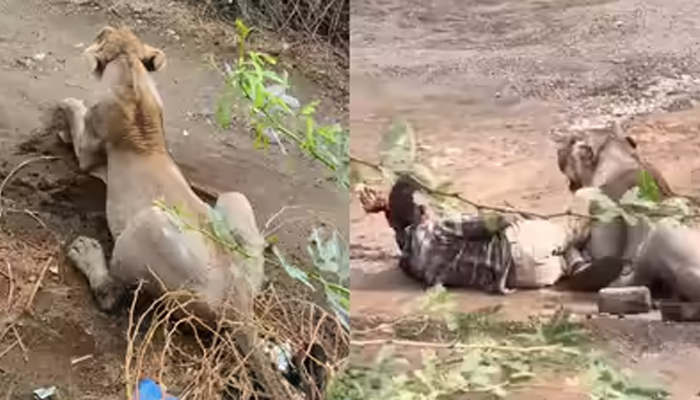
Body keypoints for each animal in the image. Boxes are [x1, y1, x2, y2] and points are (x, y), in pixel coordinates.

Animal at [54, 26, 296, 398]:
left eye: (102, 35)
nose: (103, 28)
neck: (132, 74)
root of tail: (237, 302)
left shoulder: (87, 152)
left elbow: (77, 116)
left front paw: (66, 106)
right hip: (235, 200)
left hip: (147, 224)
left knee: (112, 295)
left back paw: (86, 251)